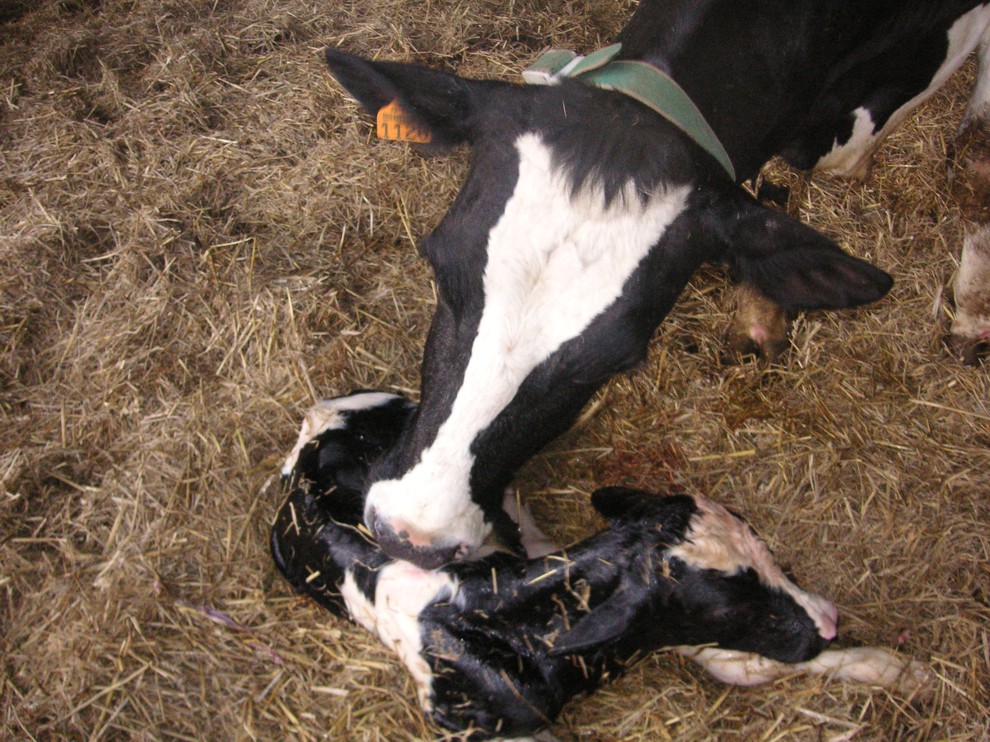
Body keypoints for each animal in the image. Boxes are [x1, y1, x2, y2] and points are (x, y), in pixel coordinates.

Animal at [276, 392, 932, 740]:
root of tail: (315, 425)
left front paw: (898, 670)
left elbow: (741, 665)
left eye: (767, 549)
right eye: (729, 606)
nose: (829, 621)